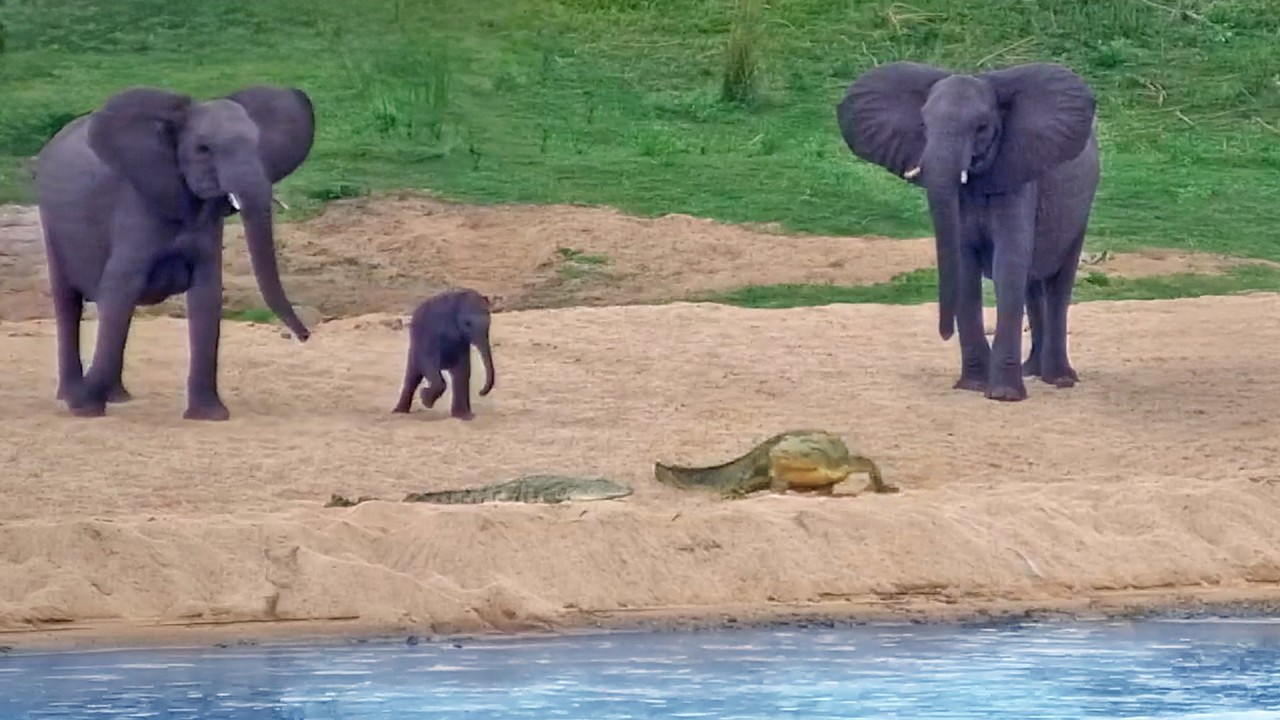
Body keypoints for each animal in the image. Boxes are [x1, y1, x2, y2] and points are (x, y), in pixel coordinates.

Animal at [34, 84, 316, 420]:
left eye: (258, 145)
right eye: (203, 149)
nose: (306, 336)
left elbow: (207, 295)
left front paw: (210, 416)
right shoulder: (135, 208)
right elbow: (119, 291)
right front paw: (84, 407)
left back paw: (116, 397)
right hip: (51, 223)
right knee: (68, 303)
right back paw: (71, 395)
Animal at [392, 288, 497, 420]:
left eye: (490, 322)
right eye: (468, 323)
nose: (480, 392)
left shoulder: (461, 342)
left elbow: (463, 371)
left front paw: (465, 416)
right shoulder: (433, 330)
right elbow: (430, 362)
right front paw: (425, 399)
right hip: (416, 345)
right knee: (414, 375)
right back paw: (399, 411)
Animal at [836, 61, 1101, 401]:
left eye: (982, 127)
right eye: (923, 125)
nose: (944, 333)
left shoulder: (1017, 175)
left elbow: (1008, 264)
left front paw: (1003, 396)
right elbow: (965, 266)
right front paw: (973, 386)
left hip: (1081, 210)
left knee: (1058, 284)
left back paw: (1059, 379)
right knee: (1032, 284)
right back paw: (1032, 372)